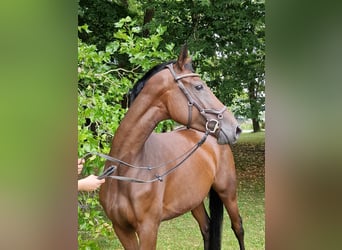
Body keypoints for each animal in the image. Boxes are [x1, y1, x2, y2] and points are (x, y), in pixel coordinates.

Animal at [97, 45, 244, 250]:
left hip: (227, 191)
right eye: (199, 86)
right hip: (194, 199)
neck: (126, 170)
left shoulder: (149, 229)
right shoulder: (121, 229)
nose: (236, 128)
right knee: (207, 228)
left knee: (238, 227)